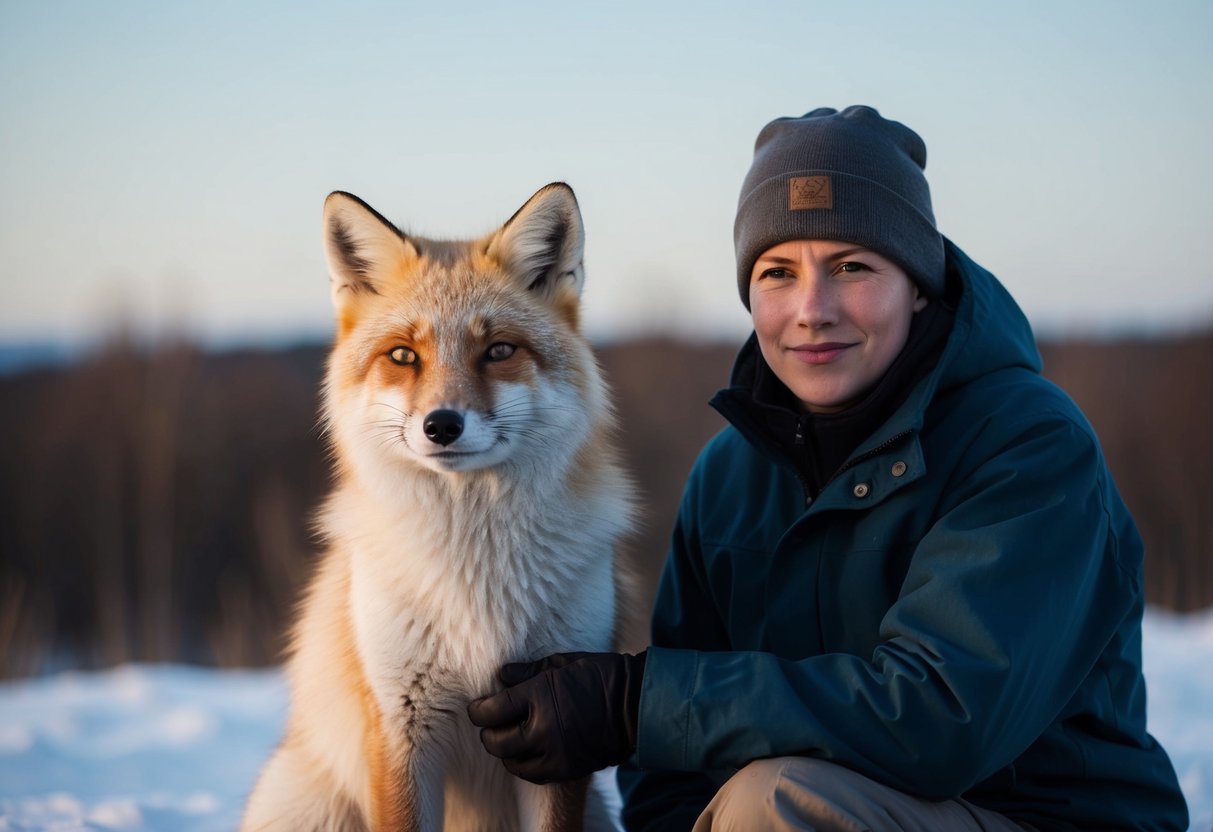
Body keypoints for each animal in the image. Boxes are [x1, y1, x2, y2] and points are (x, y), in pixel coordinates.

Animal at [241, 183, 635, 832]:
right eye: (404, 356)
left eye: (498, 350)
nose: (442, 425)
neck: (474, 578)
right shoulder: (400, 724)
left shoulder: (553, 721)